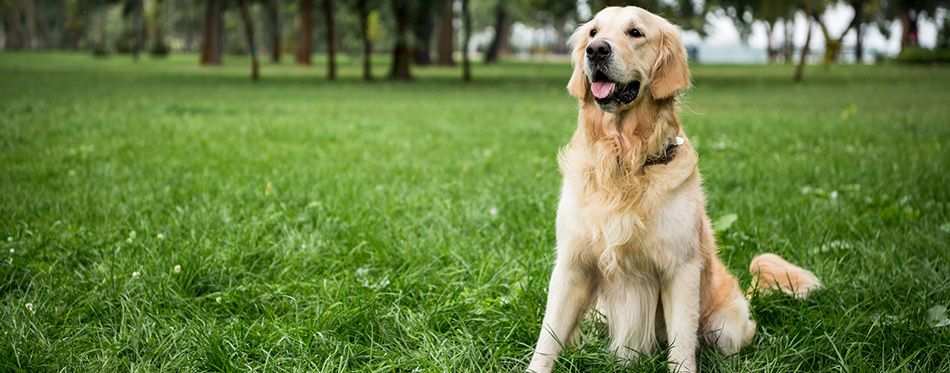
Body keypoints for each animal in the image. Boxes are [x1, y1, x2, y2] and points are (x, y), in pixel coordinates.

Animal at [528, 5, 824, 372]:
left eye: (635, 33)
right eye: (594, 32)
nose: (596, 50)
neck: (625, 159)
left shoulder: (680, 270)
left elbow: (682, 344)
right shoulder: (571, 265)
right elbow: (548, 338)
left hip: (724, 329)